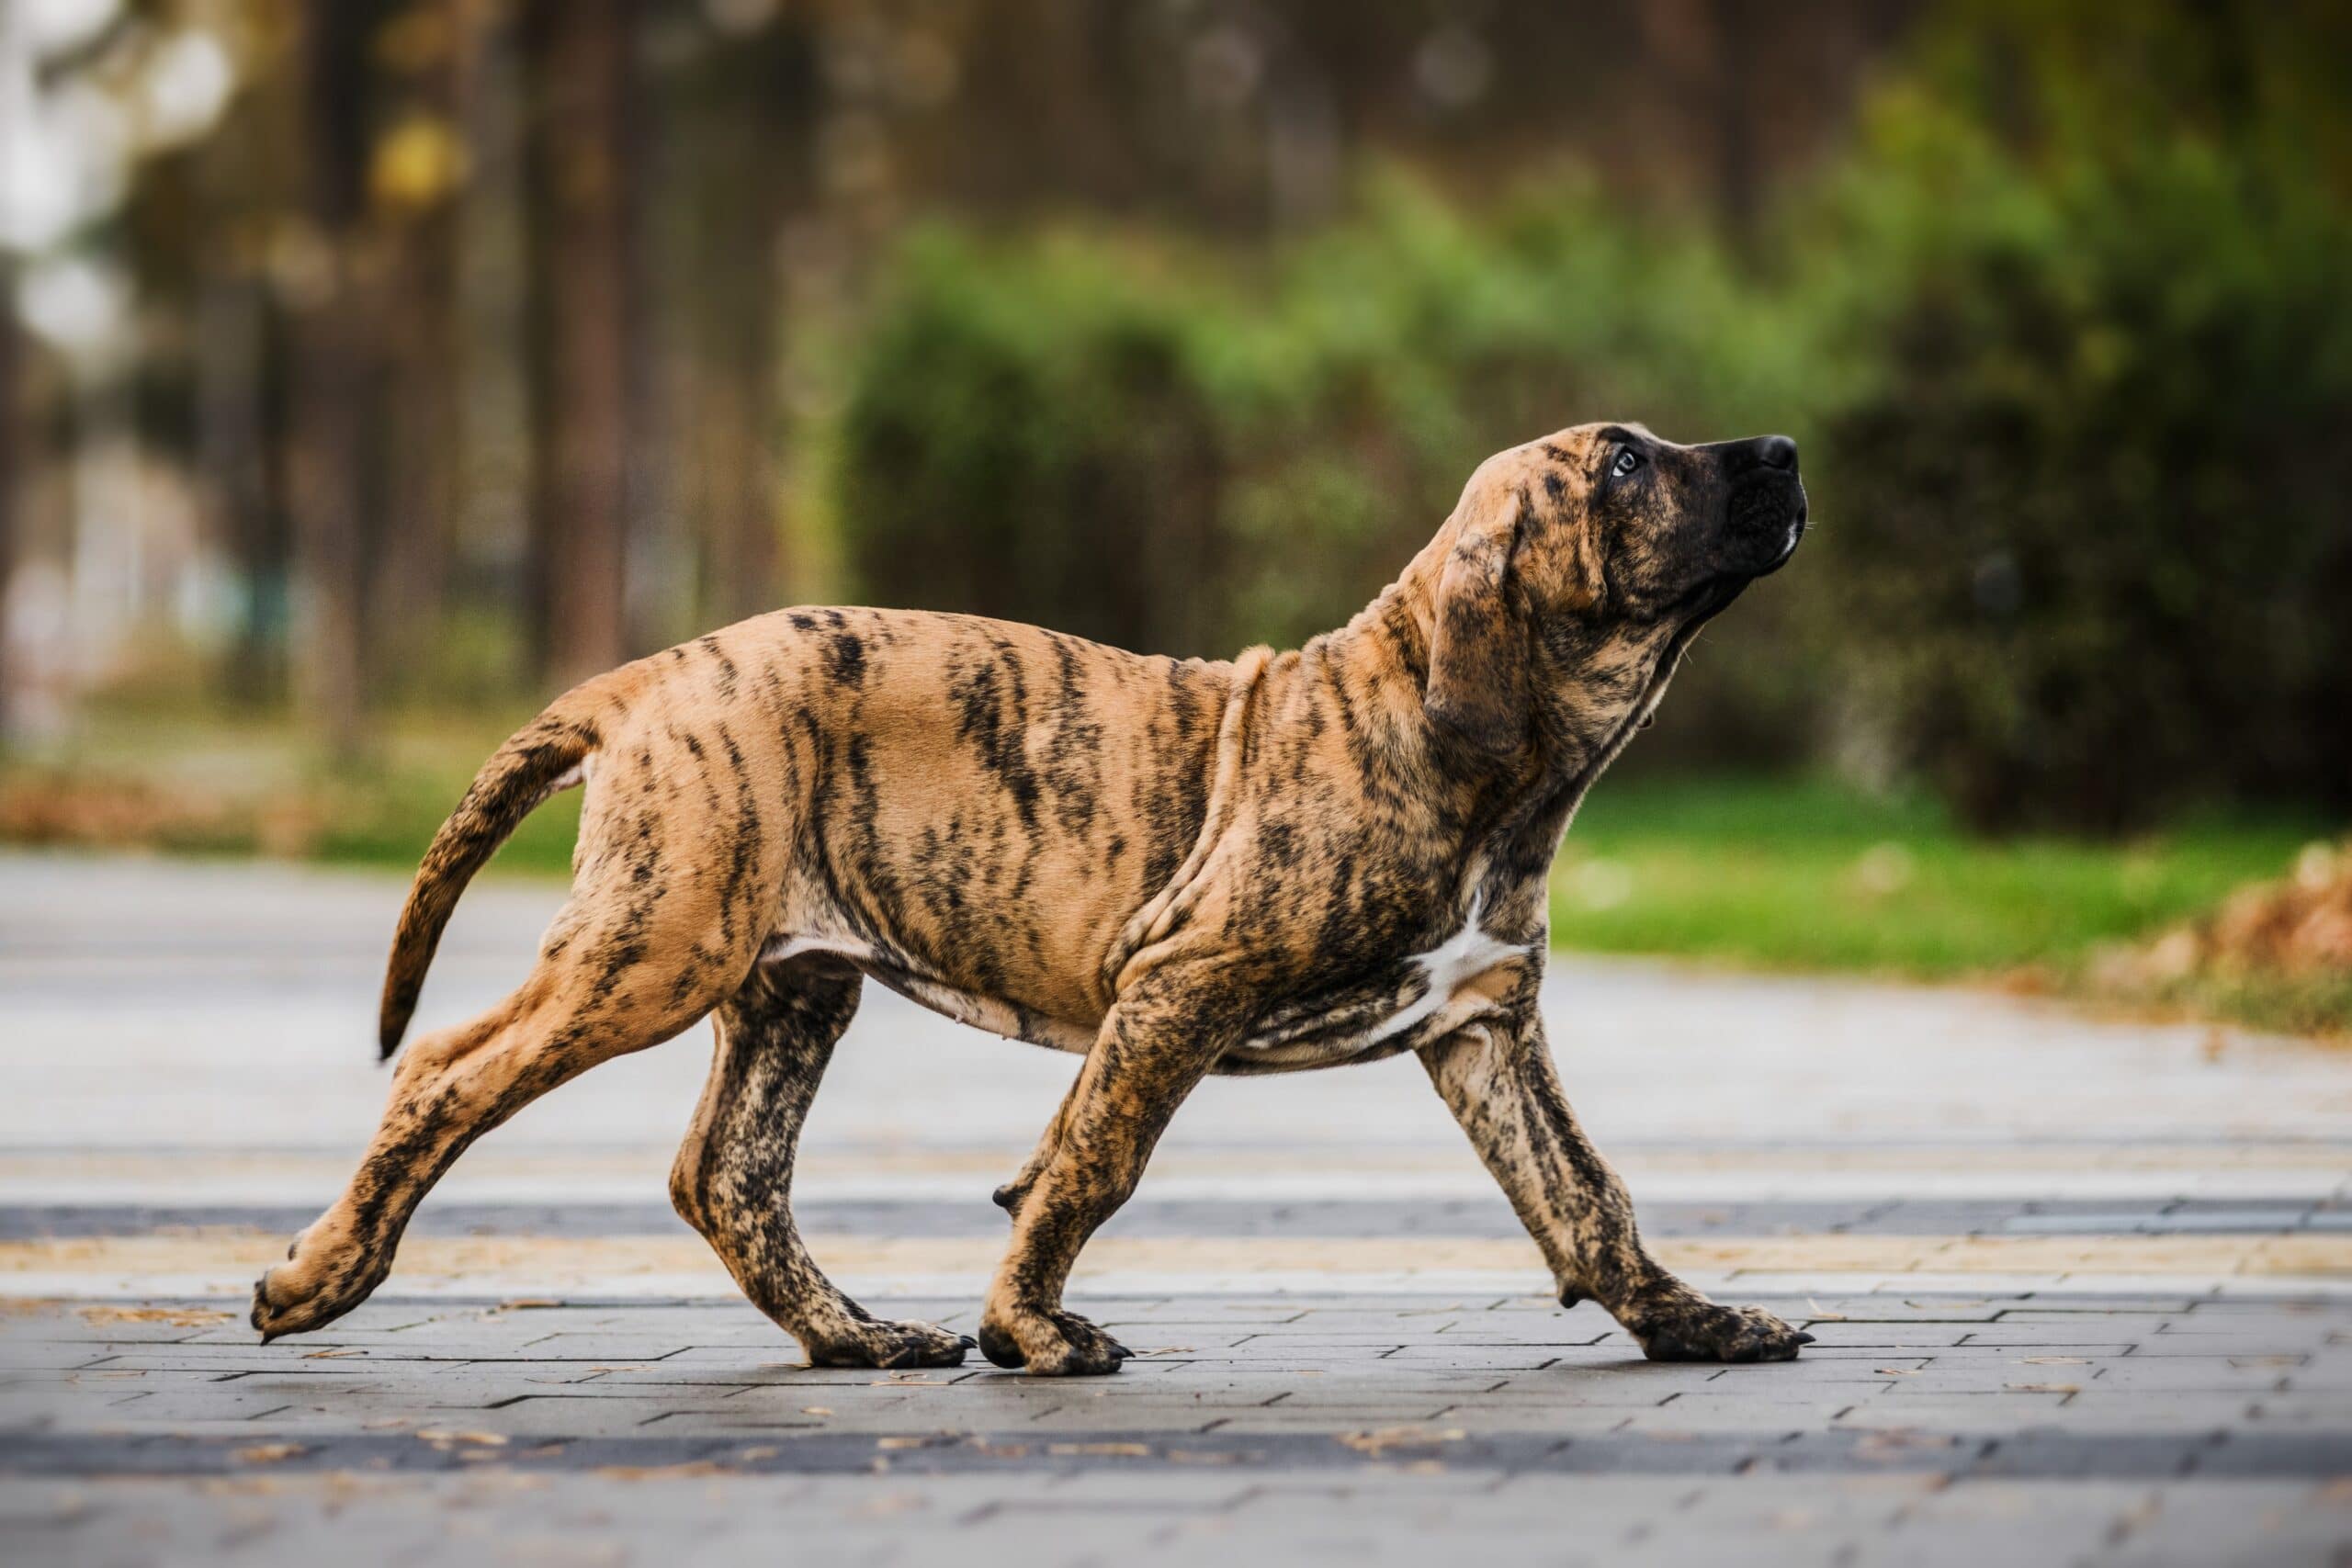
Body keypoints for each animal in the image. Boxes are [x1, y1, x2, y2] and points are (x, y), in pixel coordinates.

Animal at [248, 421, 1806, 1372]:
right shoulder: (1180, 982)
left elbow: (1586, 1192)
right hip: (655, 949)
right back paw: (324, 1272)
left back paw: (855, 1336)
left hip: (789, 984)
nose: (1786, 450)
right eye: (1623, 465)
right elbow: (1091, 1162)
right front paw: (1033, 1331)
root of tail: (652, 674)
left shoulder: (1484, 1024)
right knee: (448, 1072)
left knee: (727, 1171)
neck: (1490, 755)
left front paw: (1692, 1318)